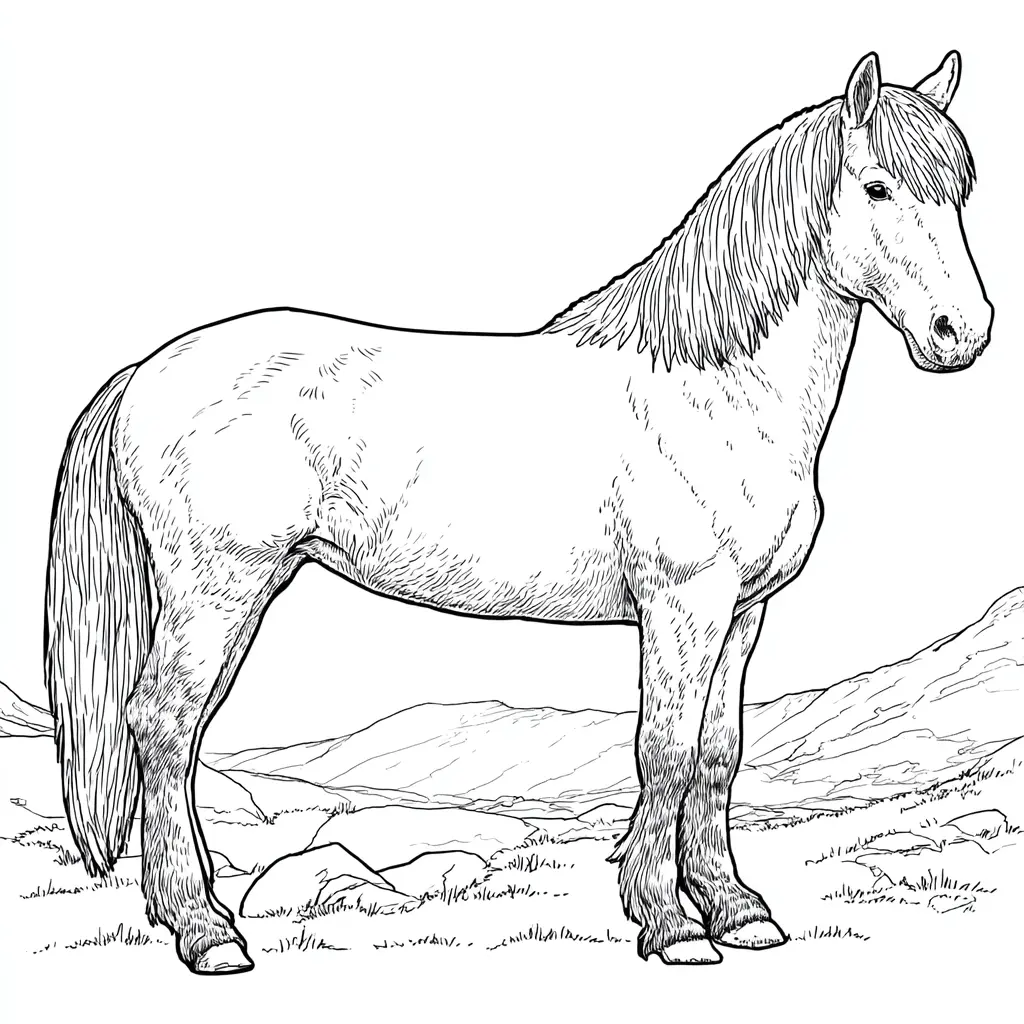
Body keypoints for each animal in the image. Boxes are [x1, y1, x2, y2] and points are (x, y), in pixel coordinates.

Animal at [44, 50, 992, 974]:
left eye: (960, 189)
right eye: (877, 186)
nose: (963, 332)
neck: (714, 388)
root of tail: (143, 373)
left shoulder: (743, 612)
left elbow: (719, 755)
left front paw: (737, 911)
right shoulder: (682, 605)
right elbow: (666, 752)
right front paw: (670, 925)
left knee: (178, 731)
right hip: (217, 590)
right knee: (162, 727)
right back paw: (205, 933)